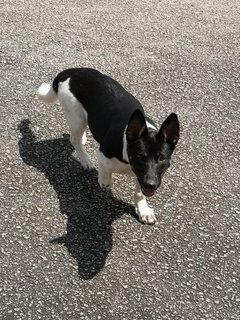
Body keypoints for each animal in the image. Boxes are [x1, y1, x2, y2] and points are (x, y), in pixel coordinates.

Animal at [37, 68, 179, 222]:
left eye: (162, 158)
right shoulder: (104, 155)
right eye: (140, 156)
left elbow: (140, 192)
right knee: (74, 139)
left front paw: (143, 210)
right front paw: (104, 181)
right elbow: (105, 174)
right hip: (75, 116)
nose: (151, 184)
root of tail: (70, 72)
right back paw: (86, 160)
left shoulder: (143, 176)